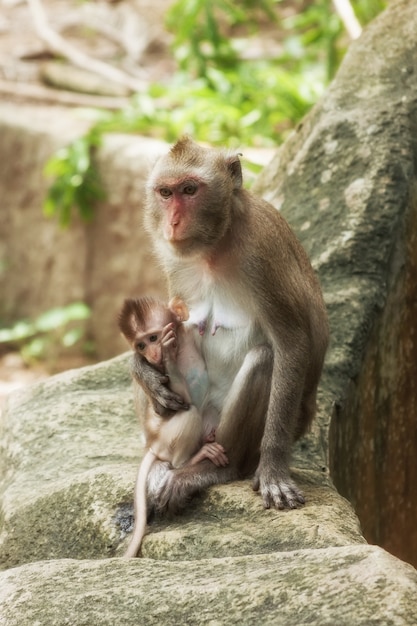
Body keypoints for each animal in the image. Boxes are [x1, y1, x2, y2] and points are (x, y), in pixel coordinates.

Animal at [117, 294, 228, 556]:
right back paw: (191, 460)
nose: (152, 354)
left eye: (153, 338)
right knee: (190, 415)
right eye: (140, 346)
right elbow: (179, 401)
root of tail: (151, 444)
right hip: (163, 437)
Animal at [133, 136, 328, 512]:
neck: (216, 244)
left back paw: (213, 469)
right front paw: (145, 374)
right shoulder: (173, 261)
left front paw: (273, 470)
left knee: (264, 359)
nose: (173, 222)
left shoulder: (262, 254)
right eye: (165, 193)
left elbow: (292, 345)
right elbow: (162, 329)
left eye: (190, 190)